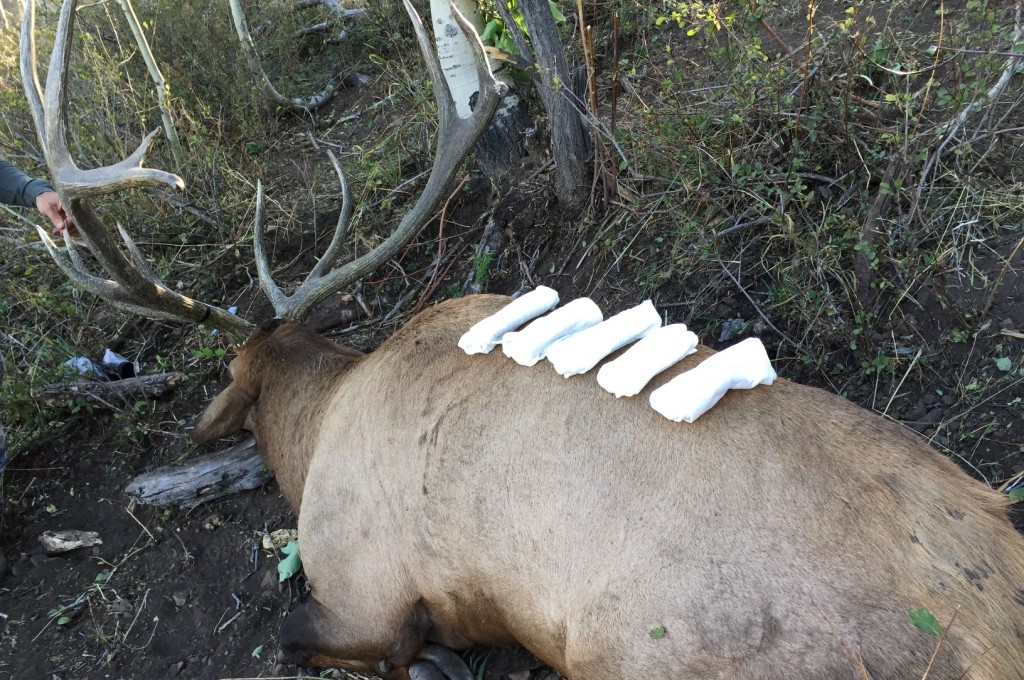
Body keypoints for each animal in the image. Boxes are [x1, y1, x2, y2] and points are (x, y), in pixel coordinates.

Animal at [19, 1, 1024, 679]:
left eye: (229, 368)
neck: (313, 428)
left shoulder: (362, 584)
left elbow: (304, 632)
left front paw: (434, 663)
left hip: (648, 649)